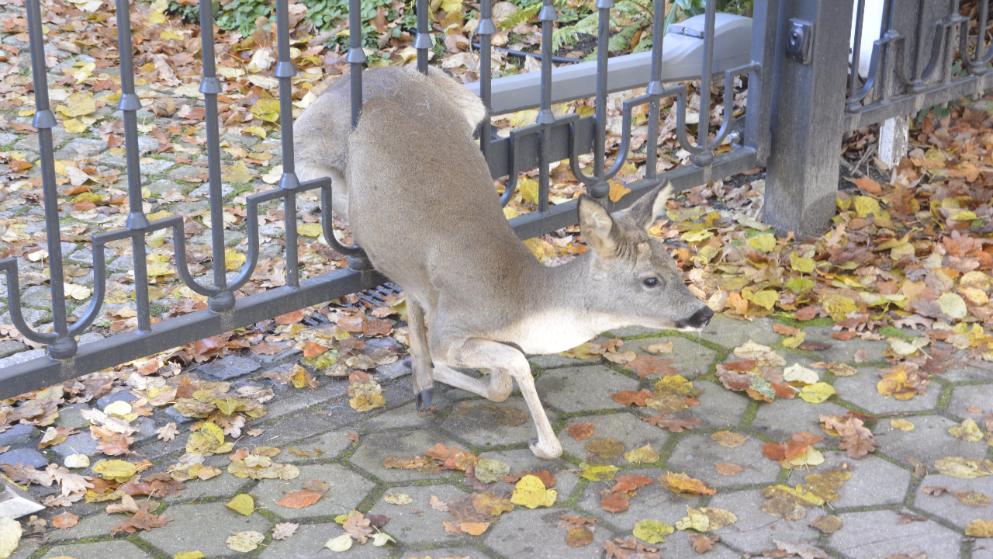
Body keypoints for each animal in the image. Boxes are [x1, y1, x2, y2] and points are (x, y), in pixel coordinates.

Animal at [290, 66, 708, 460]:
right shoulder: (450, 329)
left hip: (472, 107)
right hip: (311, 159)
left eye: (674, 264)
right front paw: (542, 444)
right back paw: (423, 375)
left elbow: (500, 384)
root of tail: (364, 76)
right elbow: (513, 363)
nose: (703, 313)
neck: (518, 300)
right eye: (650, 280)